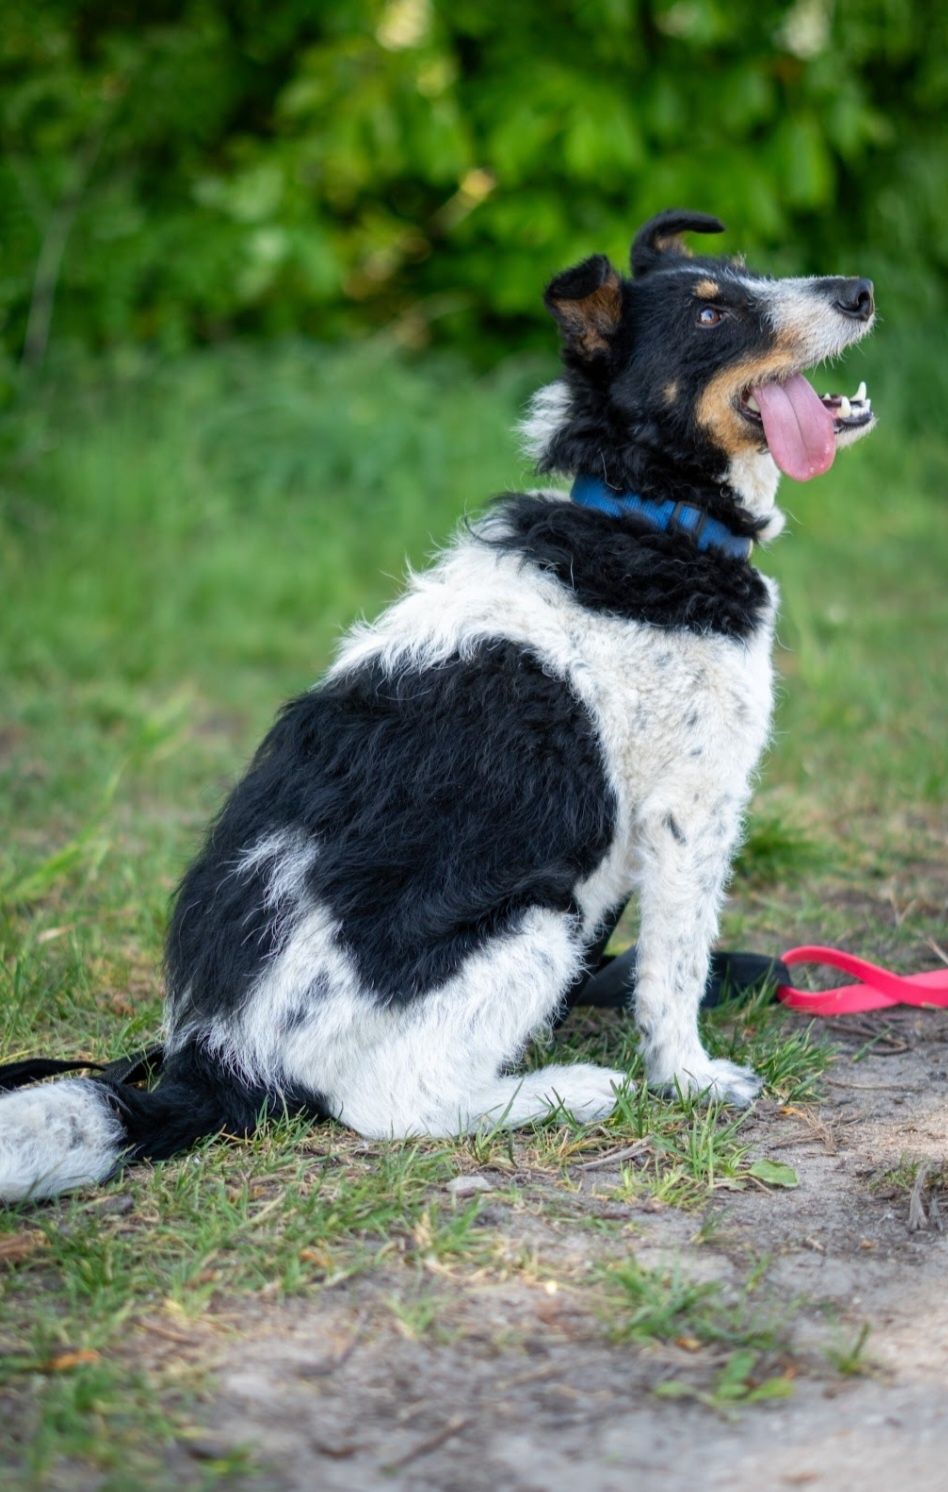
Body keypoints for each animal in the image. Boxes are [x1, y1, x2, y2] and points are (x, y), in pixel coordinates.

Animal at [0, 210, 877, 1199]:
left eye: (743, 273)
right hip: (541, 916)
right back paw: (569, 1090)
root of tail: (219, 1066)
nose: (859, 292)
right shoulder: (690, 811)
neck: (650, 517)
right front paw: (689, 1076)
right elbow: (674, 972)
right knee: (397, 1105)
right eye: (708, 313)